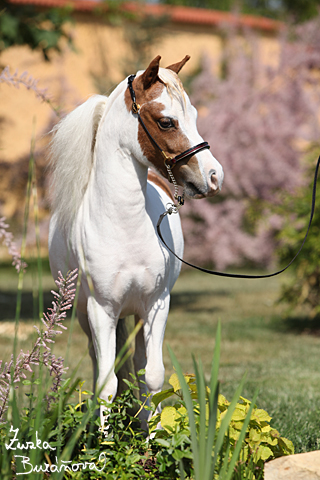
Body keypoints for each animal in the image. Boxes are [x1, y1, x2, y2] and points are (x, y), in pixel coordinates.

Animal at [48, 54, 222, 426]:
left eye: (194, 114)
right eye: (166, 122)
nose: (215, 176)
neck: (122, 225)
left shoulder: (156, 306)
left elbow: (152, 377)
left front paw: (153, 437)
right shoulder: (101, 311)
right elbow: (106, 384)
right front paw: (103, 440)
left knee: (141, 367)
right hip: (86, 315)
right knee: (102, 363)